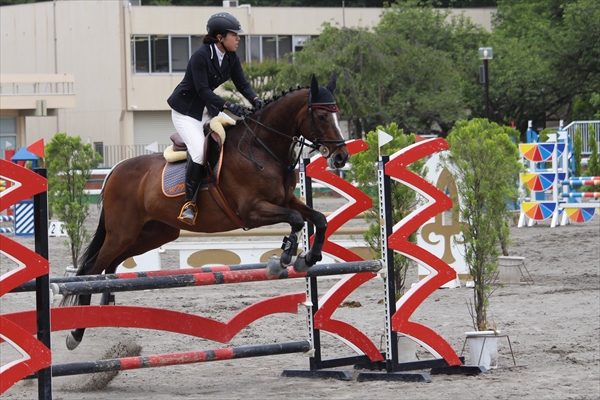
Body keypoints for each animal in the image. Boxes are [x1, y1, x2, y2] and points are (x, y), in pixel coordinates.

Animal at [63, 72, 350, 350]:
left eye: (338, 114)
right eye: (322, 116)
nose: (341, 157)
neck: (262, 147)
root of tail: (114, 171)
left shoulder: (286, 199)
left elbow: (318, 219)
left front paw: (309, 258)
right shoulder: (252, 211)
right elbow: (296, 220)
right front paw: (282, 260)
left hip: (152, 234)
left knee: (111, 264)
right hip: (122, 232)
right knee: (91, 269)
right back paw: (76, 334)